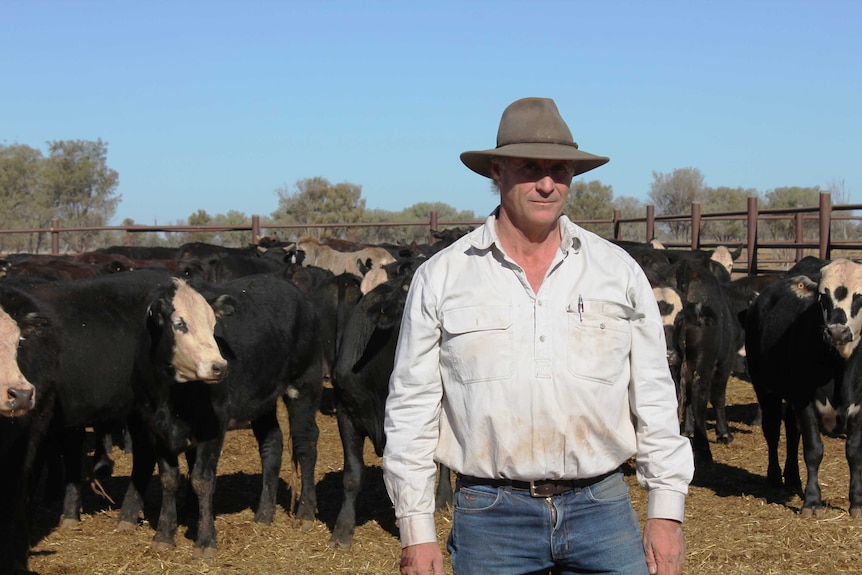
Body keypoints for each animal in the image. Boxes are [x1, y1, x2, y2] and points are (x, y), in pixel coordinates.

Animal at [116, 274, 326, 560]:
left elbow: (202, 480)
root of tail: (299, 295)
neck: (170, 396)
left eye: (213, 324)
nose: (219, 366)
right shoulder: (157, 428)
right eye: (180, 324)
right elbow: (169, 479)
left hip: (305, 385)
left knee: (305, 444)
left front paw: (205, 541)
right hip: (263, 400)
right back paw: (264, 514)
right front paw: (164, 535)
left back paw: (305, 513)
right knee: (272, 444)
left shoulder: (213, 428)